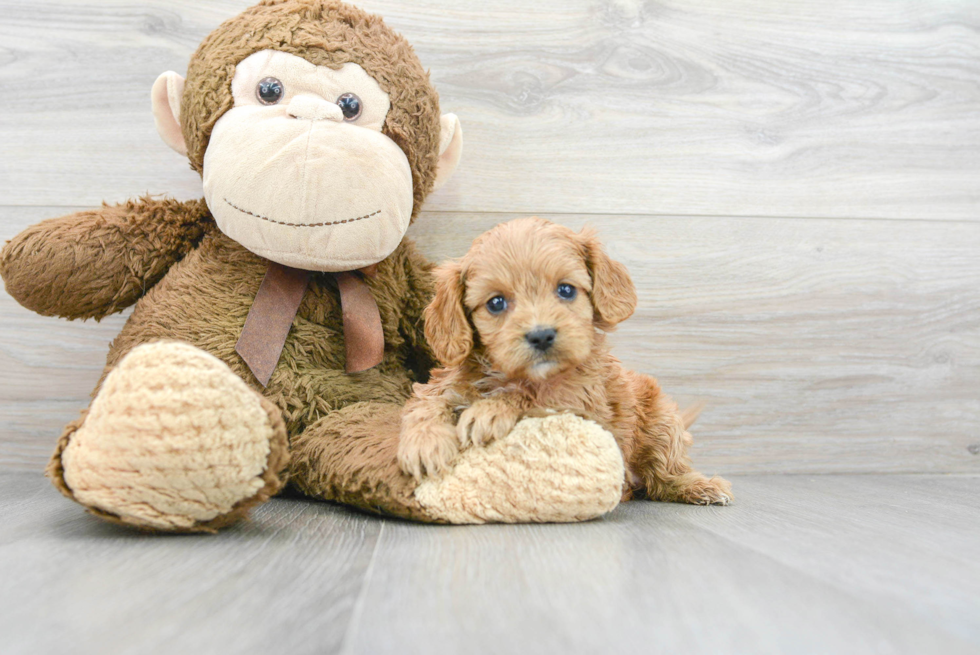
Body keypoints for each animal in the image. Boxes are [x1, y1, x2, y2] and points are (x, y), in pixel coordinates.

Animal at [394, 218, 732, 504]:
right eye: (496, 303)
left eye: (566, 290)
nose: (541, 335)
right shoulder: (444, 383)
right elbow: (426, 404)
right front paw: (425, 444)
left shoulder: (580, 404)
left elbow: (533, 398)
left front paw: (491, 409)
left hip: (662, 421)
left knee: (664, 472)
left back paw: (699, 485)